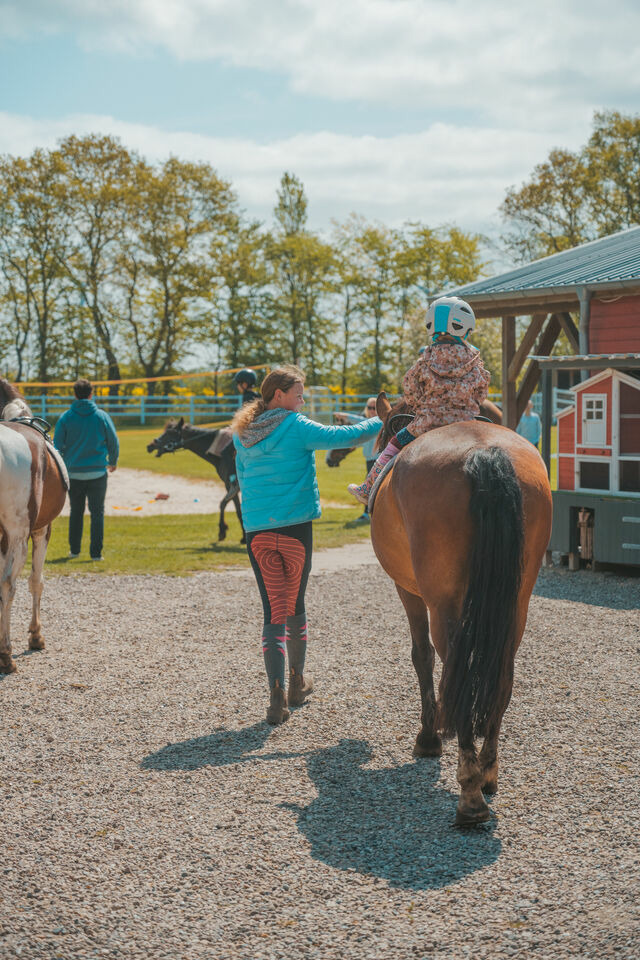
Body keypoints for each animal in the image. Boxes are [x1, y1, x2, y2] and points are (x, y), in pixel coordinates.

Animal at [370, 392, 552, 824]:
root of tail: (486, 452)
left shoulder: (409, 591)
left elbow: (421, 656)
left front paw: (429, 737)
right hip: (514, 606)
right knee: (500, 673)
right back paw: (488, 773)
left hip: (443, 605)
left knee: (457, 666)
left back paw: (470, 793)